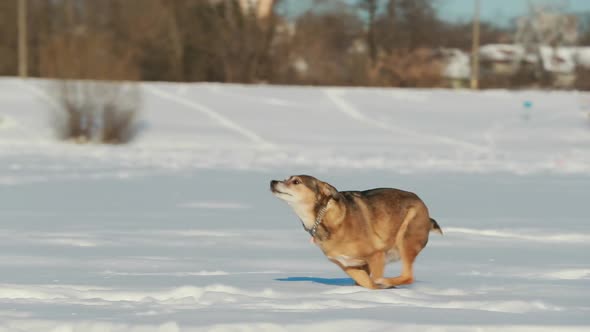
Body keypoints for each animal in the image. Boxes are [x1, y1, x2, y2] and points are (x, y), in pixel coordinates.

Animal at [270, 175, 442, 290]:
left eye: (296, 181)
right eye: (286, 178)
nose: (272, 181)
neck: (323, 218)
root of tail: (426, 211)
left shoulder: (376, 254)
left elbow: (374, 280)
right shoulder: (348, 265)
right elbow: (366, 282)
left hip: (407, 236)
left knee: (408, 276)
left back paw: (387, 282)